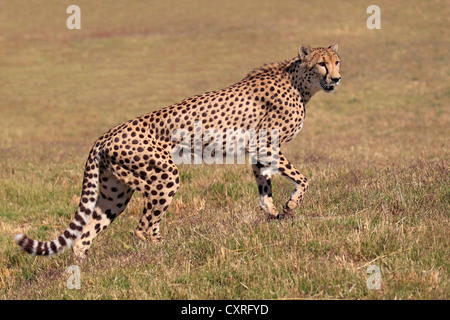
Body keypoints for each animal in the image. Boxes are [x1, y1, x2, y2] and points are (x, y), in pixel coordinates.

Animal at [16, 43, 342, 262]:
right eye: (321, 64)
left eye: (337, 62)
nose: (337, 79)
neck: (299, 82)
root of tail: (104, 135)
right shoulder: (265, 144)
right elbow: (303, 178)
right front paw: (291, 205)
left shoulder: (255, 150)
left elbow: (265, 186)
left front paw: (273, 214)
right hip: (163, 177)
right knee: (143, 227)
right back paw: (167, 252)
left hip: (116, 192)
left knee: (85, 235)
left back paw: (85, 272)